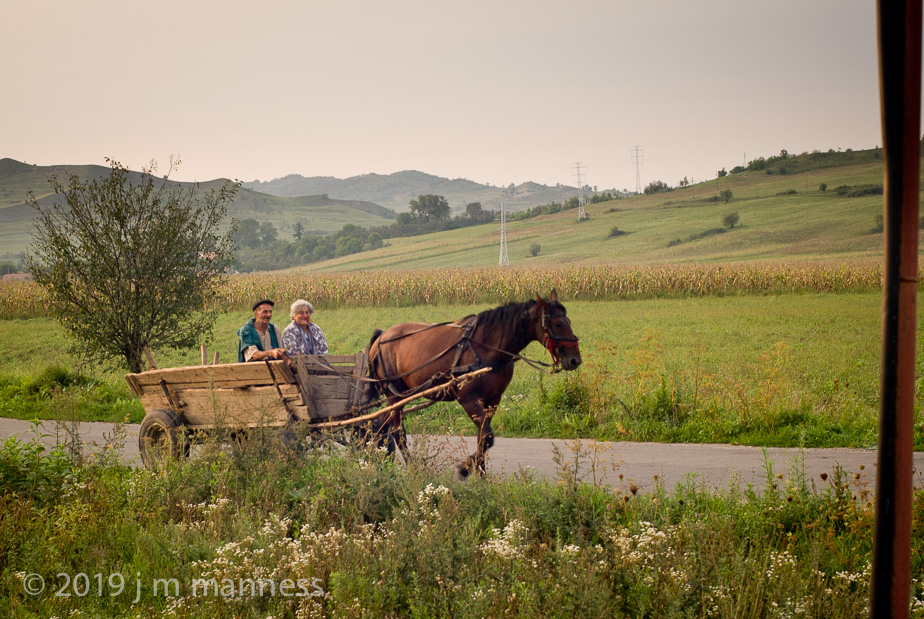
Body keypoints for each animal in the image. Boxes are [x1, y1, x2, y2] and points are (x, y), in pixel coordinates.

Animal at [367, 290, 582, 477]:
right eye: (557, 324)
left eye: (569, 321)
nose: (575, 360)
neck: (487, 346)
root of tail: (382, 335)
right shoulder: (468, 398)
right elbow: (487, 436)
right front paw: (466, 469)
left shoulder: (492, 399)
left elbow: (482, 437)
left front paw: (480, 474)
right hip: (395, 395)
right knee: (398, 432)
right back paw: (412, 466)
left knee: (380, 425)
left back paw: (378, 460)